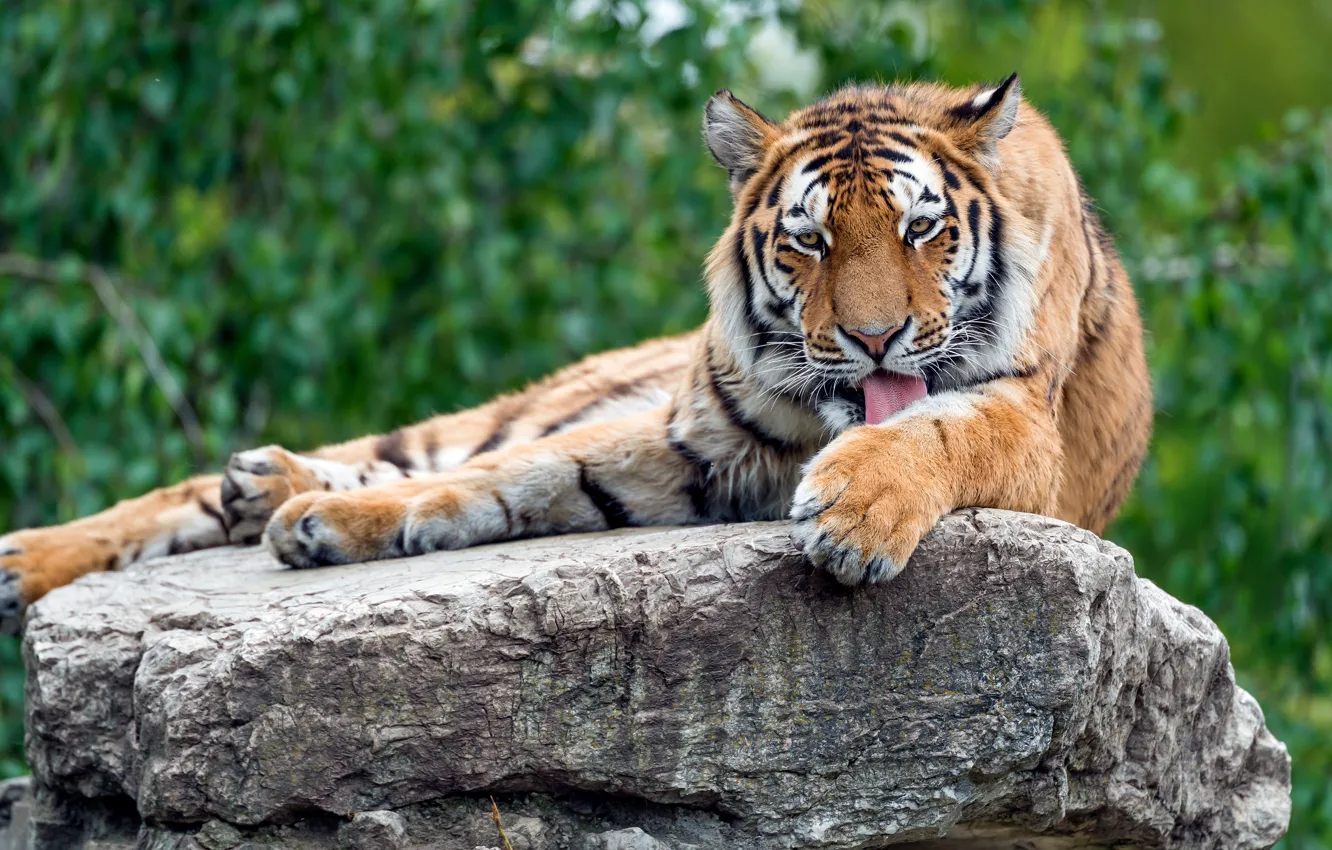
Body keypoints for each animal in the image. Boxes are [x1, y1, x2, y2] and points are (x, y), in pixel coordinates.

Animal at [0, 74, 1152, 628]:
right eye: (812, 239)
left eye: (920, 230)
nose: (873, 340)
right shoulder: (690, 435)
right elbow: (510, 475)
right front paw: (324, 524)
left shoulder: (1029, 426)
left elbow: (939, 430)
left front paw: (855, 513)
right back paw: (52, 550)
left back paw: (265, 486)